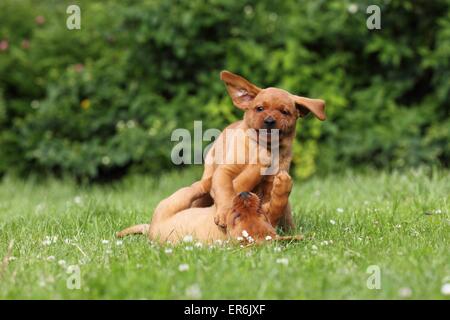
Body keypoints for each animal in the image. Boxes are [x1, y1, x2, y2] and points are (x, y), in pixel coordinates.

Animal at [116, 170, 300, 242]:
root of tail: (150, 229)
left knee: (197, 186)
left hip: (174, 202)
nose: (244, 195)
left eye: (236, 217)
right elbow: (278, 205)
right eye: (259, 211)